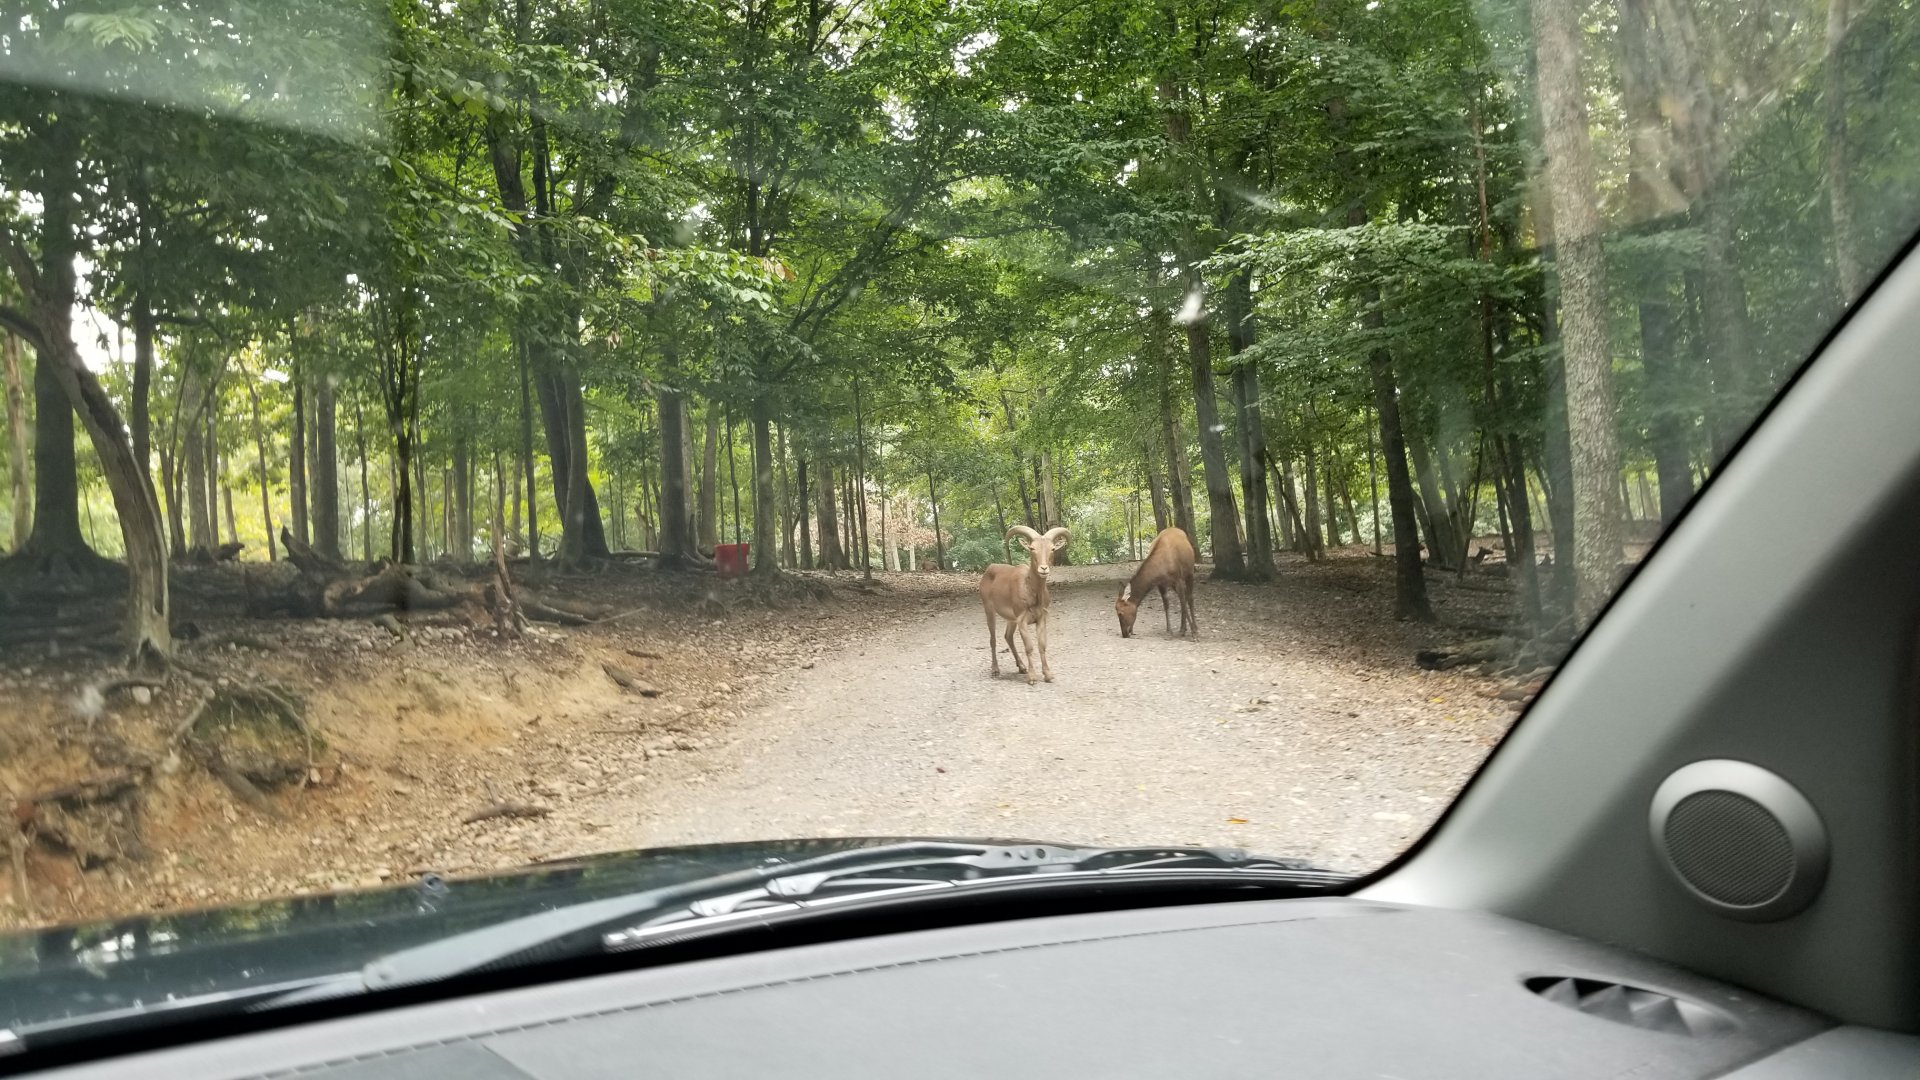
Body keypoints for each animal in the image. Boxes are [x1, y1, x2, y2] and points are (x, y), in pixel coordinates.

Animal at [980, 525, 1069, 685]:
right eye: (1032, 548)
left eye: (1052, 548)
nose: (1043, 568)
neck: (1032, 592)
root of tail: (988, 569)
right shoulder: (1022, 620)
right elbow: (1029, 647)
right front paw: (1032, 677)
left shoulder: (1041, 618)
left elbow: (1042, 645)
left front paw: (1048, 674)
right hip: (988, 609)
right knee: (993, 639)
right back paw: (995, 670)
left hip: (1011, 618)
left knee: (1008, 636)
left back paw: (1021, 666)